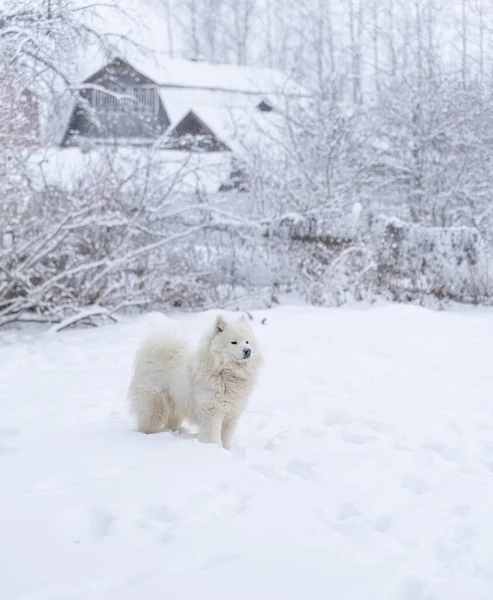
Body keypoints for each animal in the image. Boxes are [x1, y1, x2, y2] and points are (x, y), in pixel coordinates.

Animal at [129, 314, 264, 450]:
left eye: (247, 341)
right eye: (234, 342)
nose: (248, 350)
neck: (226, 372)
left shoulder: (231, 415)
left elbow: (226, 438)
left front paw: (226, 451)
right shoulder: (212, 412)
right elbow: (214, 438)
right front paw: (215, 449)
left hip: (175, 407)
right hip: (155, 407)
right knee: (148, 425)